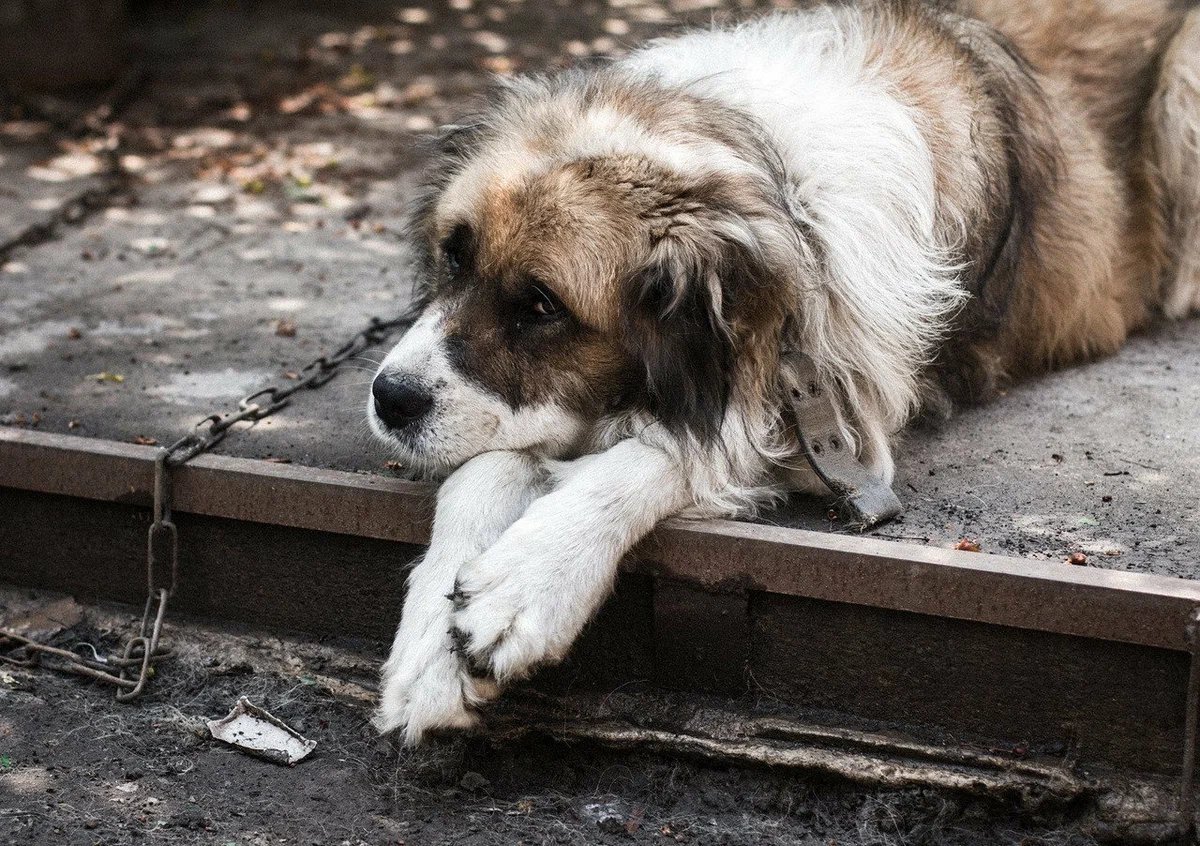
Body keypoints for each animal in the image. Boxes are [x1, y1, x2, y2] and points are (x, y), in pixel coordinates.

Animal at [364, 0, 1200, 739]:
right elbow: (490, 466)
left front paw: (528, 581)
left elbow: (673, 451)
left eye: (540, 305)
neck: (772, 189)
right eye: (453, 257)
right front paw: (431, 651)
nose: (387, 399)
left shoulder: (835, 415)